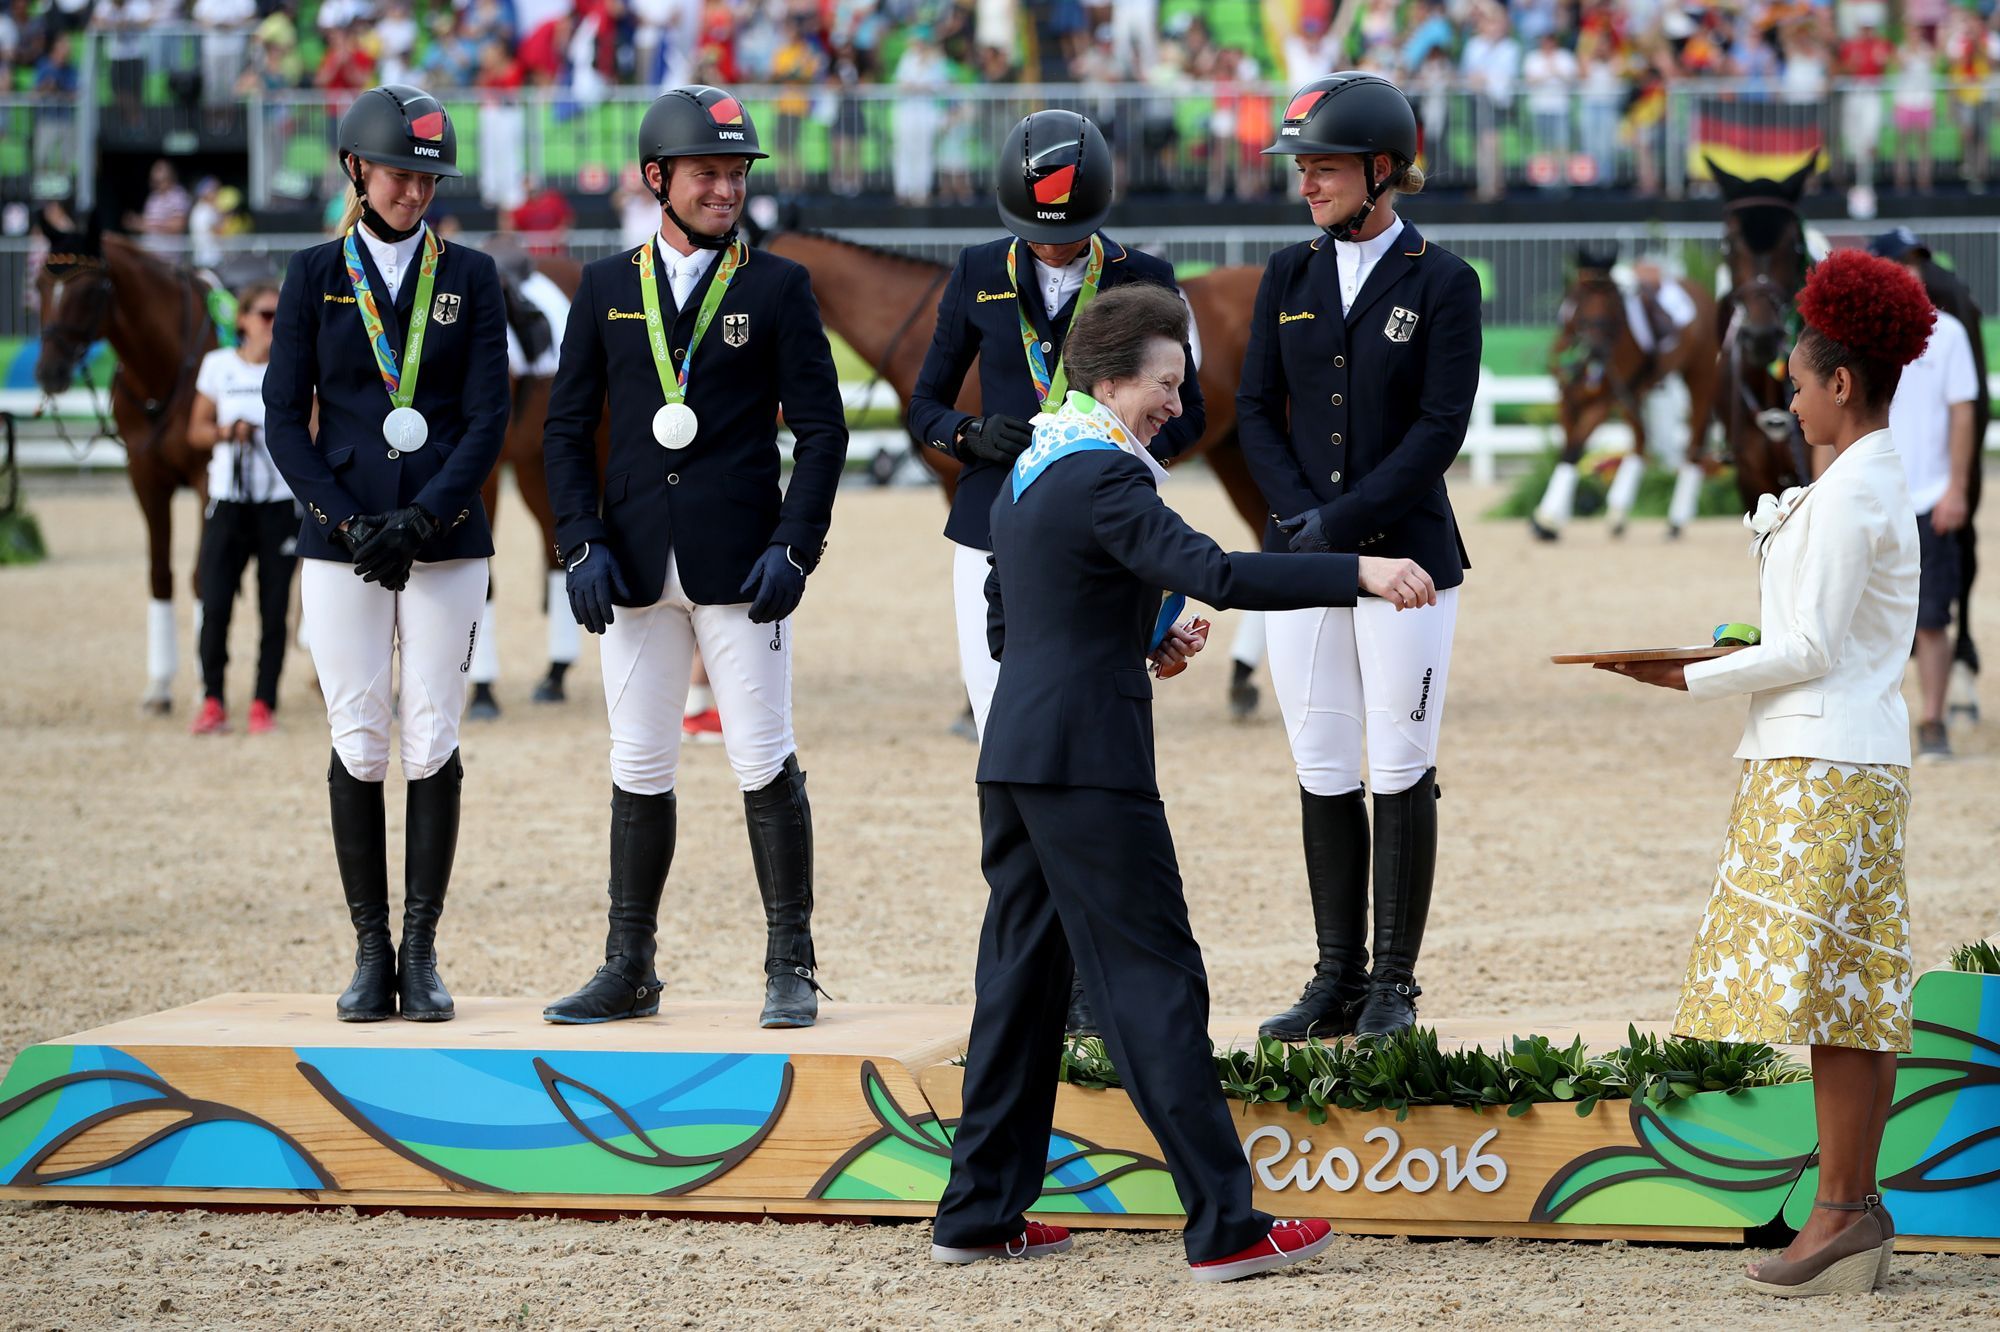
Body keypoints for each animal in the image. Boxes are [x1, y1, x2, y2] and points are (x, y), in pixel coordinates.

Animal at [35, 215, 219, 716]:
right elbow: (159, 575)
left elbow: (203, 577)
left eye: (90, 291)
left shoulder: (208, 479)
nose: (48, 373)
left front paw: (205, 686)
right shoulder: (145, 479)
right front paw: (158, 688)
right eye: (39, 285)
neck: (166, 365)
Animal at [1544, 254, 1720, 536]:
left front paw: (1546, 520)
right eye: (1580, 298)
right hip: (1635, 393)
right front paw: (1555, 518)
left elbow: (1574, 449)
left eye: (1612, 301)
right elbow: (1568, 449)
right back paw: (1618, 514)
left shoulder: (1602, 403)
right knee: (1641, 442)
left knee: (1694, 441)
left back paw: (1676, 520)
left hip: (1700, 378)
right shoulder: (1566, 399)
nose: (1596, 349)